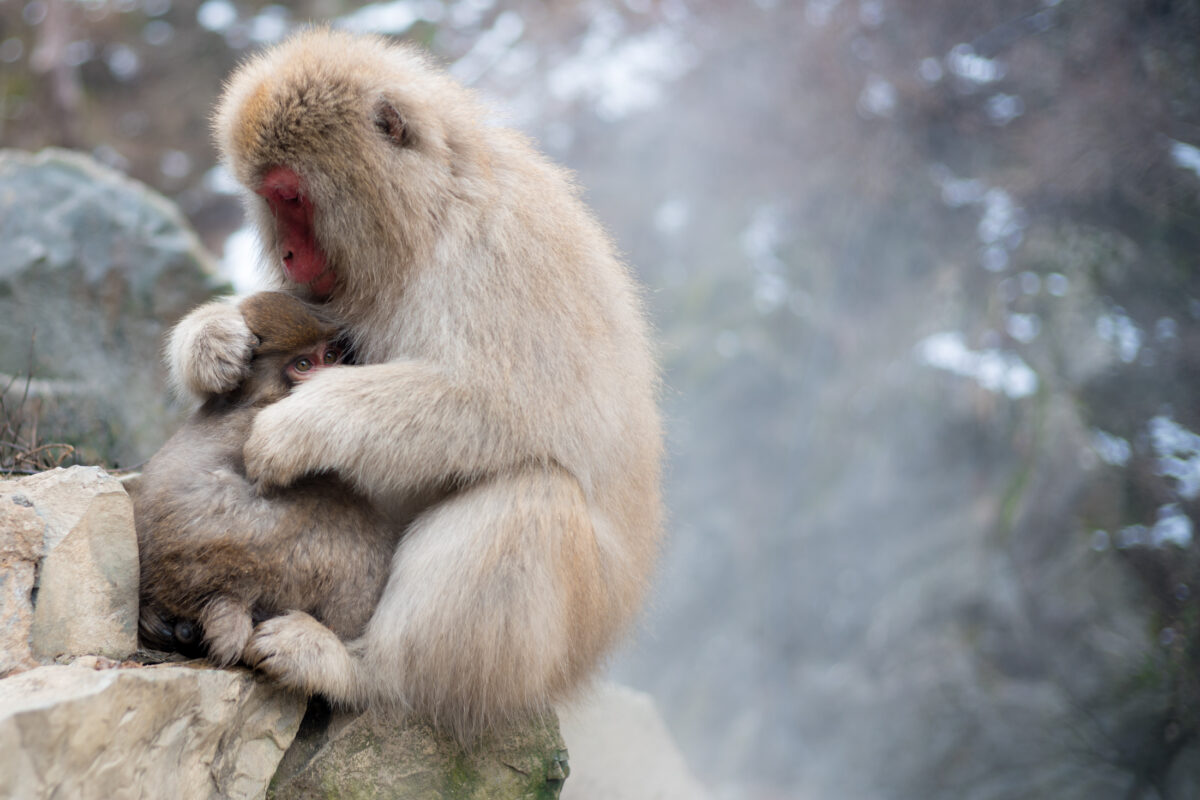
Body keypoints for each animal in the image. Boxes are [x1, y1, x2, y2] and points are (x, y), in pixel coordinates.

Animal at [171, 29, 667, 743]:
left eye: (291, 195)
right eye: (267, 199)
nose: (289, 254)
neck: (429, 215)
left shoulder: (499, 248)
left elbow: (503, 405)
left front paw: (299, 426)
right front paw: (213, 338)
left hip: (563, 639)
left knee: (532, 497)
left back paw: (361, 670)